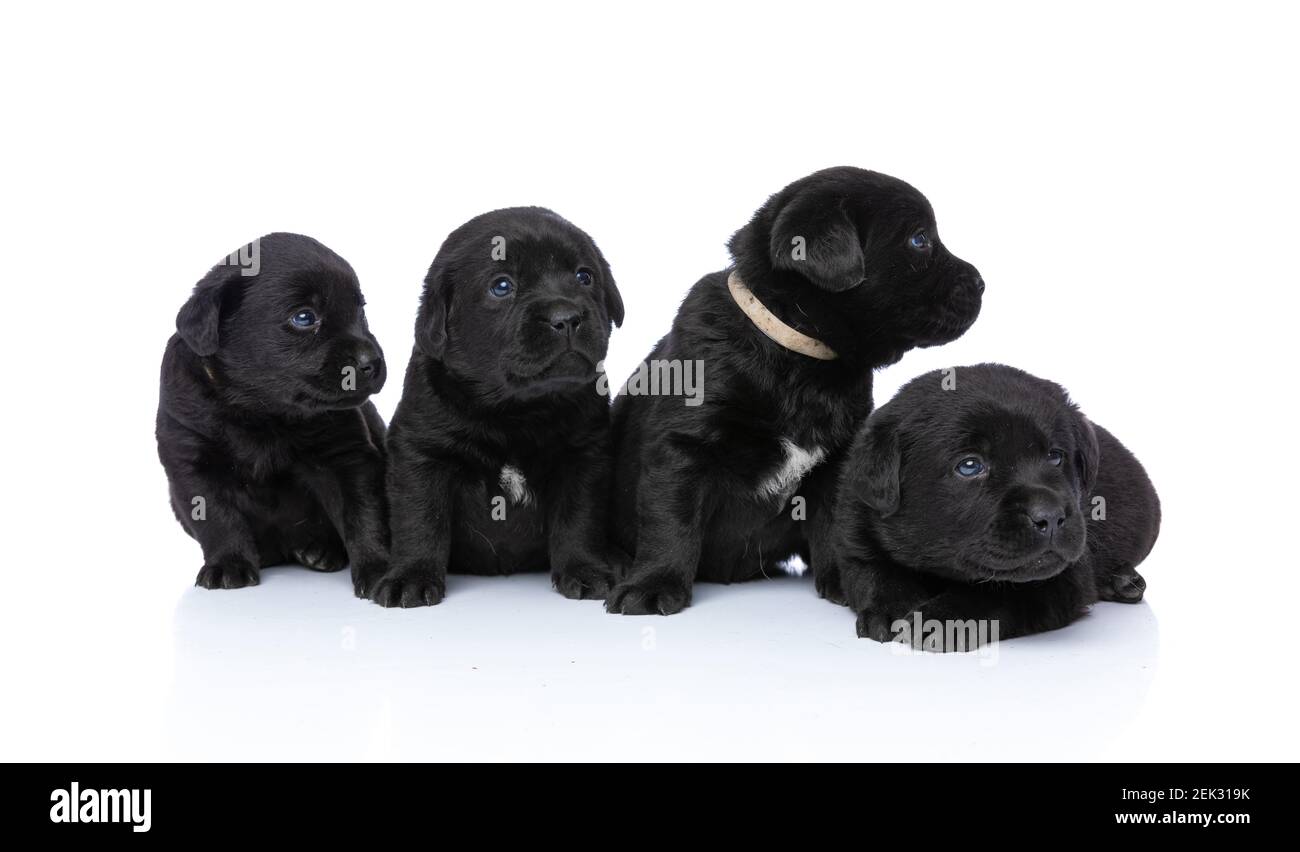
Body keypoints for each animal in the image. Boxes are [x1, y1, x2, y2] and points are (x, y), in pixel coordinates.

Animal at [155, 232, 387, 593]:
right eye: (304, 317)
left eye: (360, 312)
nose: (371, 362)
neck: (260, 411)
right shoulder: (193, 463)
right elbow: (218, 519)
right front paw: (229, 564)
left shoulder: (347, 458)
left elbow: (363, 515)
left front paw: (379, 569)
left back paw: (320, 551)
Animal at [366, 206, 624, 606]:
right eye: (502, 286)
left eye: (585, 277)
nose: (566, 317)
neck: (516, 410)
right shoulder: (421, 454)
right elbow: (420, 519)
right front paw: (410, 576)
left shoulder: (584, 455)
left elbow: (579, 519)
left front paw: (585, 570)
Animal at [608, 167, 982, 619]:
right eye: (919, 239)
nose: (982, 283)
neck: (797, 355)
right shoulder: (684, 445)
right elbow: (671, 520)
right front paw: (652, 584)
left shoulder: (841, 457)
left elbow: (834, 525)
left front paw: (845, 581)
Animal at [837, 364, 1164, 650]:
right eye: (969, 466)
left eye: (1055, 456)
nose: (1051, 517)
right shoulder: (856, 536)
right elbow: (873, 573)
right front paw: (889, 609)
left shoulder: (1064, 576)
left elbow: (1000, 593)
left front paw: (942, 619)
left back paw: (1122, 581)